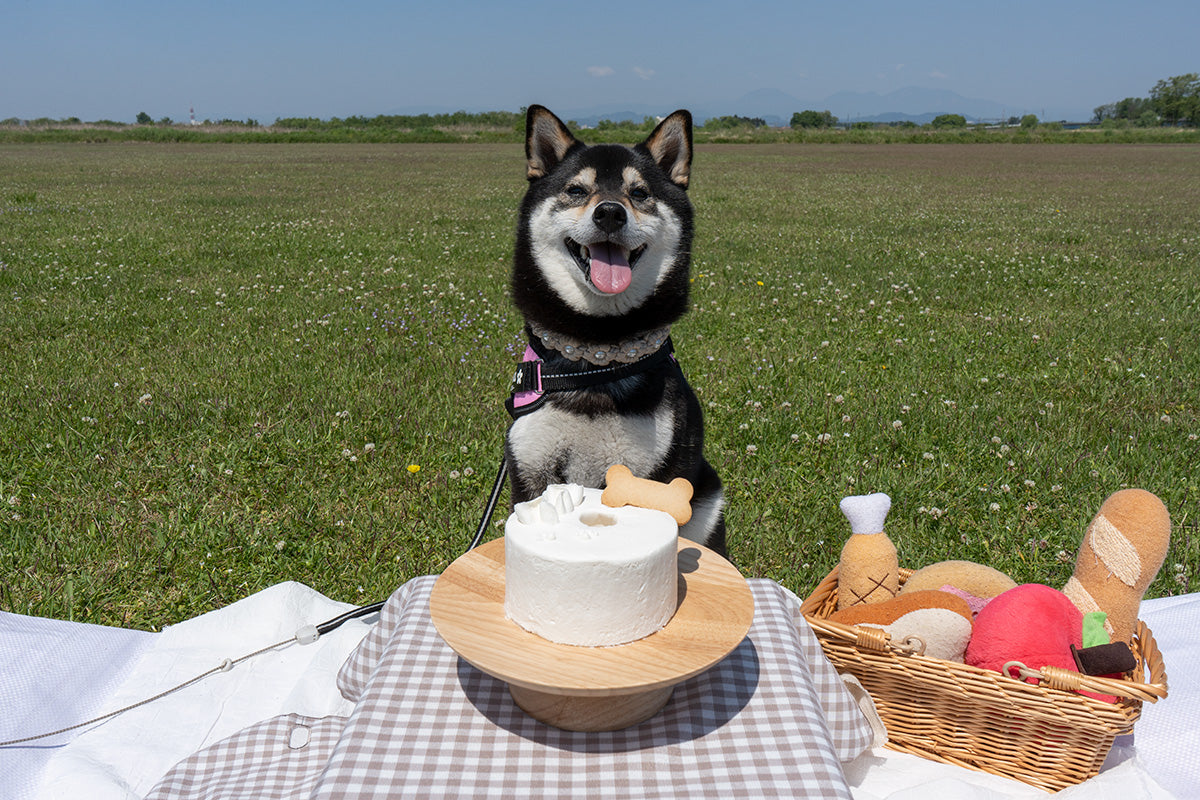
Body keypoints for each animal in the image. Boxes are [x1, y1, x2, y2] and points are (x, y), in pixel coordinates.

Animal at [504, 104, 724, 556]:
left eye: (639, 193)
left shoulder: (652, 471)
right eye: (576, 190)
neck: (595, 357)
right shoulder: (530, 465)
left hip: (707, 502)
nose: (609, 212)